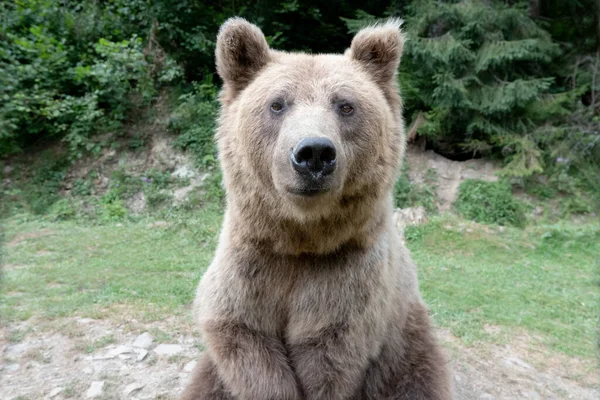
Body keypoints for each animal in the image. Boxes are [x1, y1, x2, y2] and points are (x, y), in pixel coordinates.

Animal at [180, 17, 452, 398]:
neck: (301, 238)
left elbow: (327, 356)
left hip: (406, 340)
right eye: (278, 104)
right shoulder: (251, 264)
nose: (314, 153)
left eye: (345, 105)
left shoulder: (347, 279)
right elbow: (243, 336)